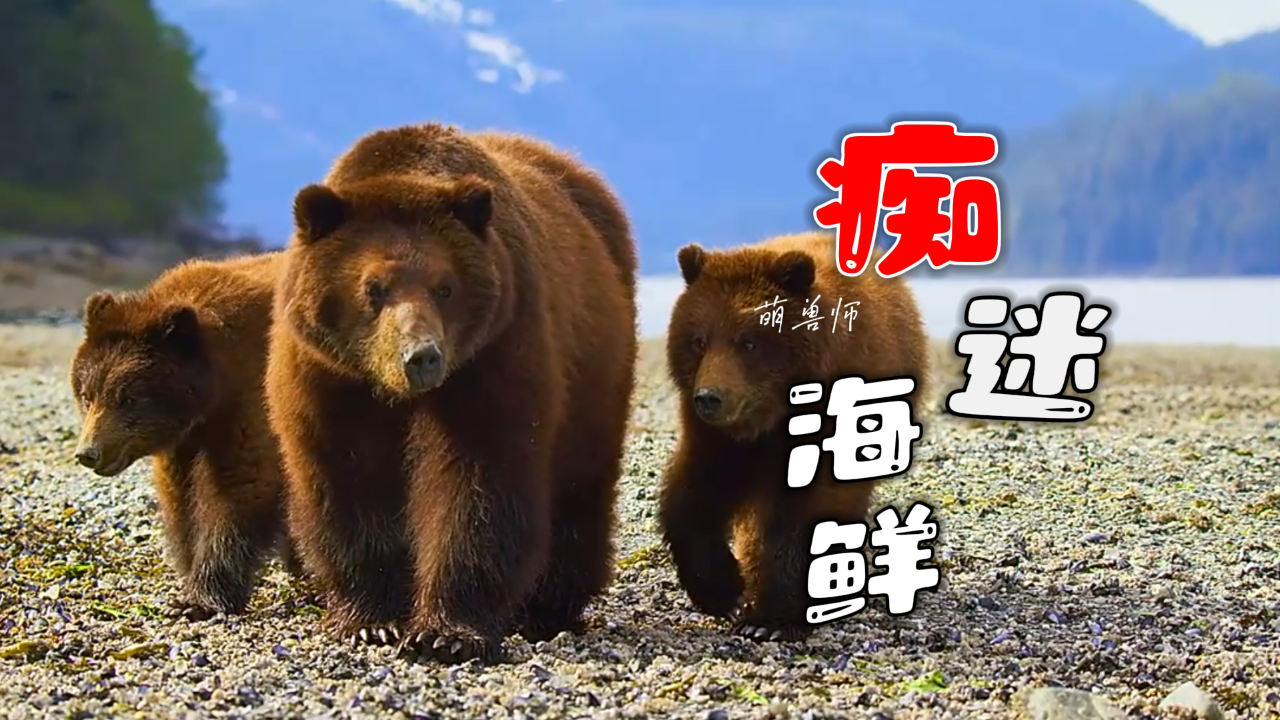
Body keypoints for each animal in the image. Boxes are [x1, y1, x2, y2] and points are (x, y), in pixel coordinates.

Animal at [68, 251, 302, 621]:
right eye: (87, 395)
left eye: (128, 397)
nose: (89, 452)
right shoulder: (183, 443)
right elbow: (179, 498)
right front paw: (188, 570)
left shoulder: (252, 403)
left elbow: (241, 487)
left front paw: (201, 598)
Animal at [265, 122, 639, 663]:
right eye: (374, 288)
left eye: (444, 287)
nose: (421, 356)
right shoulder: (330, 377)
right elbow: (349, 481)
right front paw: (370, 621)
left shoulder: (493, 353)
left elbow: (478, 482)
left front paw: (446, 632)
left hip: (595, 368)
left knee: (579, 484)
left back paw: (547, 608)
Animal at [657, 231, 931, 643]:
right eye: (698, 340)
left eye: (749, 341)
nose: (709, 397)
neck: (770, 420)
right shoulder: (719, 440)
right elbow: (694, 494)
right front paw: (726, 591)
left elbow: (805, 514)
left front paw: (771, 619)